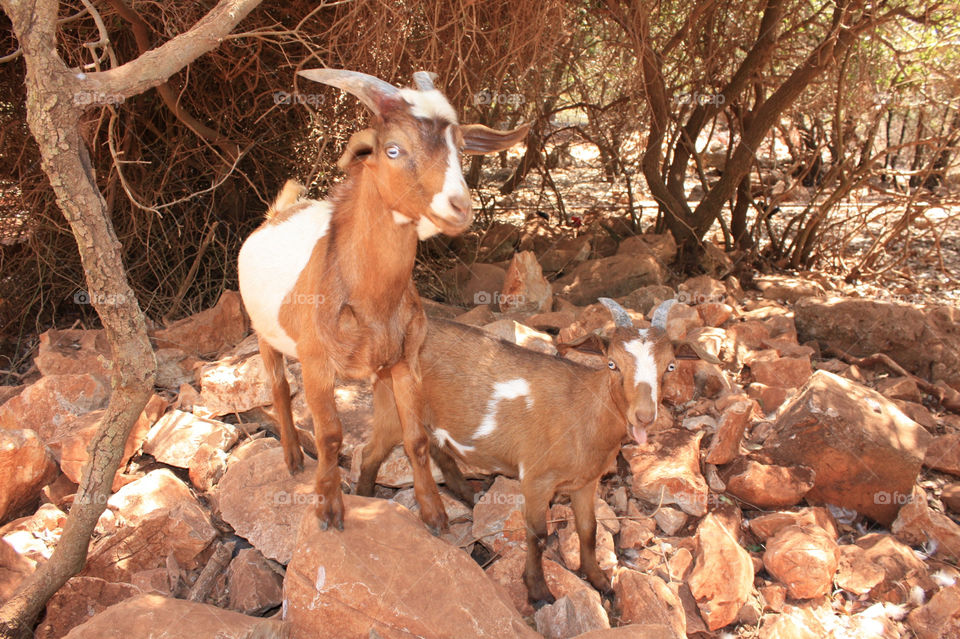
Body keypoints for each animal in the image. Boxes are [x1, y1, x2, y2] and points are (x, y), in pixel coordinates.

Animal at [236, 69, 528, 528]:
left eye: (461, 148)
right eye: (393, 150)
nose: (459, 207)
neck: (372, 303)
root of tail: (276, 214)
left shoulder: (406, 362)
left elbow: (416, 438)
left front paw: (434, 512)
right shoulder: (317, 364)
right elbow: (330, 436)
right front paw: (328, 508)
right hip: (265, 334)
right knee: (279, 388)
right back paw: (292, 457)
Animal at [354, 298, 712, 604]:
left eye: (670, 366)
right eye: (612, 363)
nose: (644, 416)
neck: (582, 410)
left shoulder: (586, 482)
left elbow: (589, 530)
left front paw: (599, 580)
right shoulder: (537, 479)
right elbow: (538, 534)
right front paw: (538, 591)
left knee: (435, 448)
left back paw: (467, 497)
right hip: (393, 405)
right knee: (381, 452)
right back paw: (385, 504)